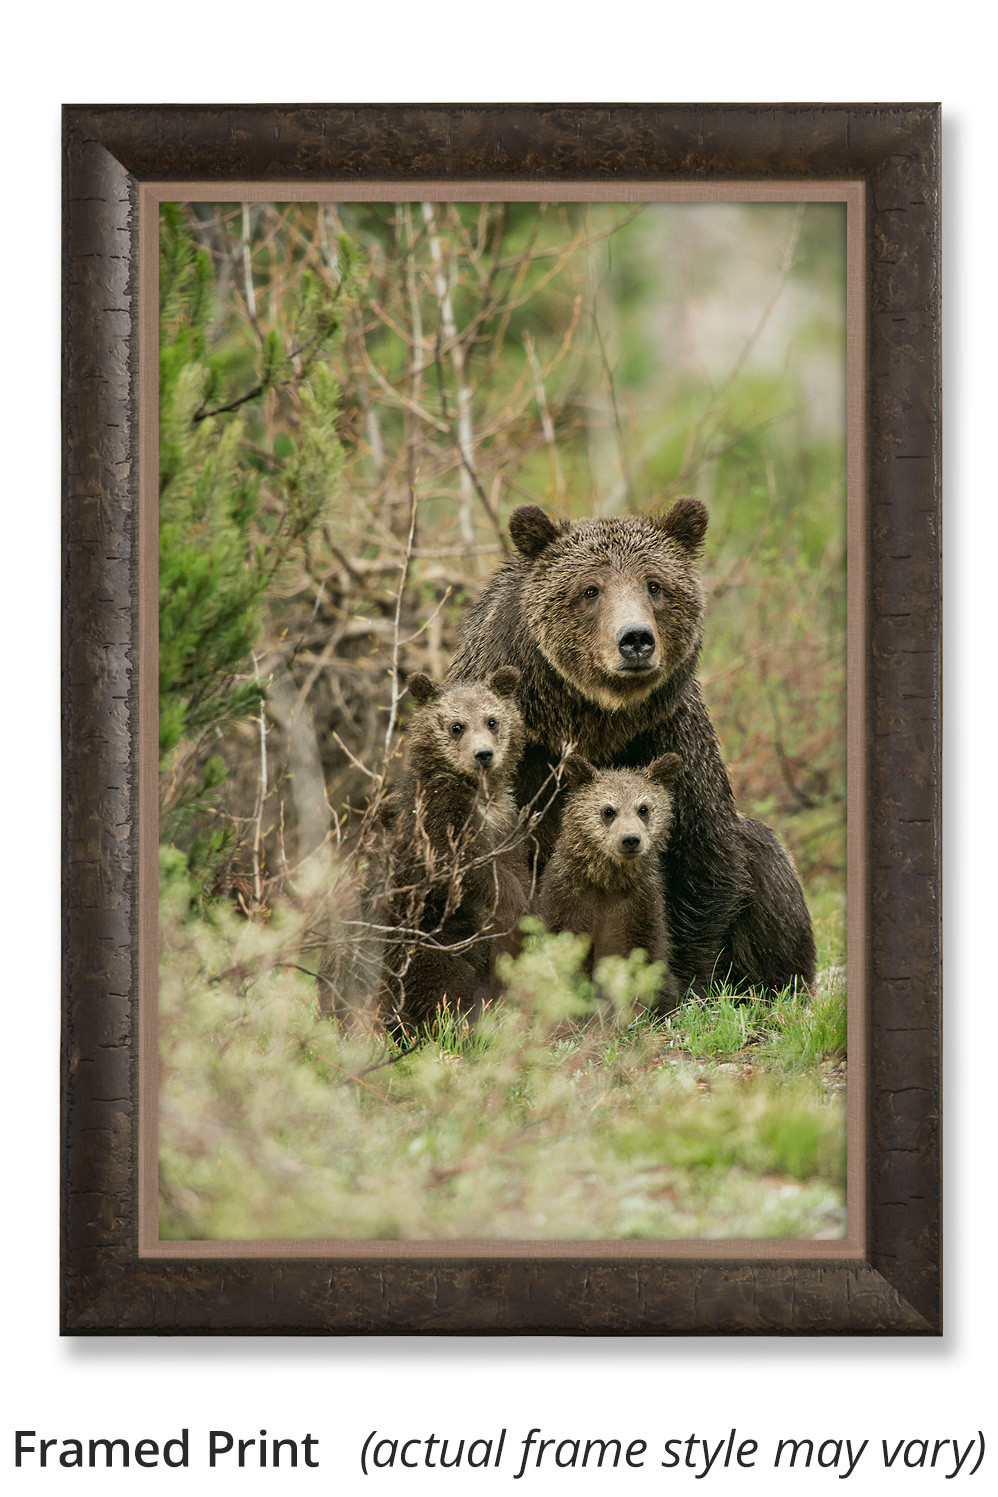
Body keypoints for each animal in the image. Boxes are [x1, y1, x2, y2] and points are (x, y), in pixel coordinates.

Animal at [376, 667, 531, 1029]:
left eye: (492, 720)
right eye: (456, 726)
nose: (483, 754)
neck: (479, 793)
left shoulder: (505, 822)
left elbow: (515, 867)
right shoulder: (439, 815)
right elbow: (466, 870)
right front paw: (513, 904)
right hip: (422, 944)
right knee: (446, 982)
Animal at [539, 753, 683, 1012]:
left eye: (643, 808)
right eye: (608, 811)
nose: (630, 839)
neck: (607, 880)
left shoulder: (641, 905)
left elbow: (646, 956)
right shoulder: (569, 900)